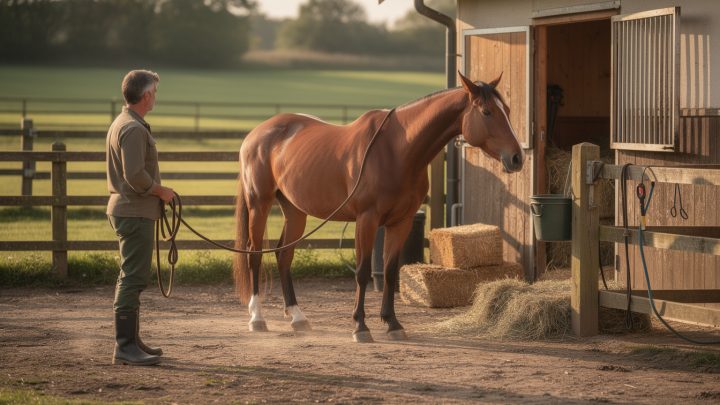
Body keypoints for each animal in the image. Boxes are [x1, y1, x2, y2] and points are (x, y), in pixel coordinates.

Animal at [233, 71, 524, 343]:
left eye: (508, 111)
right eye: (486, 112)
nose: (517, 158)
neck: (397, 150)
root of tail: (255, 135)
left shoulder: (401, 222)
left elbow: (391, 271)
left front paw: (392, 323)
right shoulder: (367, 219)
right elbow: (362, 272)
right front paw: (360, 326)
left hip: (295, 211)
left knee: (284, 255)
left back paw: (297, 317)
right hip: (259, 203)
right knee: (254, 254)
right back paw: (257, 318)